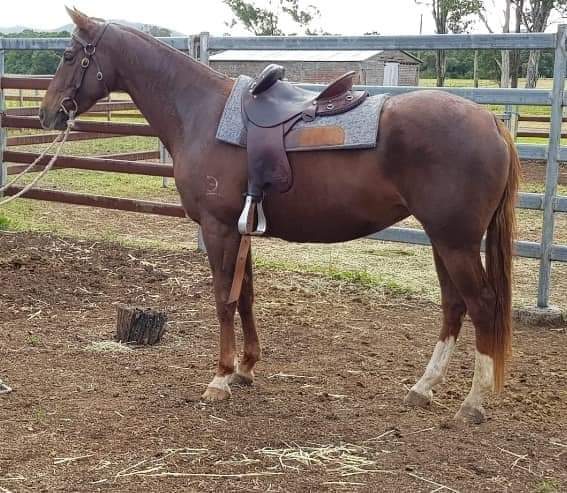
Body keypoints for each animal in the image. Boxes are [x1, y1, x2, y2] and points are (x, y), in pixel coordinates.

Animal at [38, 8, 519, 424]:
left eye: (68, 55)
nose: (47, 113)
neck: (201, 112)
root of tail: (491, 122)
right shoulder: (241, 228)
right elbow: (246, 295)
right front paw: (245, 368)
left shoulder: (218, 228)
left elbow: (224, 299)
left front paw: (219, 377)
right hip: (443, 239)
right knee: (454, 305)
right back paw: (423, 387)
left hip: (455, 241)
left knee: (482, 305)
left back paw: (472, 403)